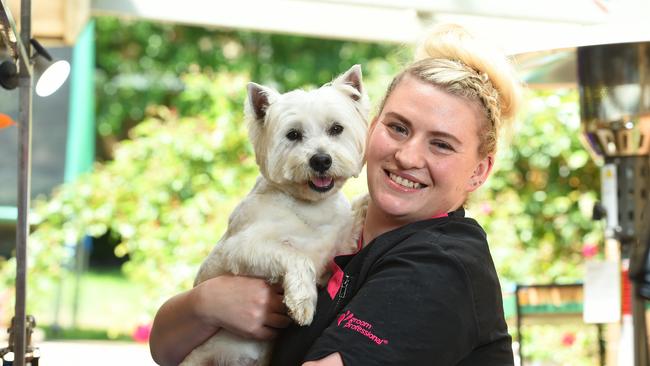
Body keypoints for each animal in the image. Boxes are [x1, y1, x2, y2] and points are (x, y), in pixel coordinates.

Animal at [180, 64, 368, 364]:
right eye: (293, 135)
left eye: (336, 129)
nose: (321, 160)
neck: (310, 207)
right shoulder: (241, 247)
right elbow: (296, 256)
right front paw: (302, 302)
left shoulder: (335, 250)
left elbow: (353, 220)